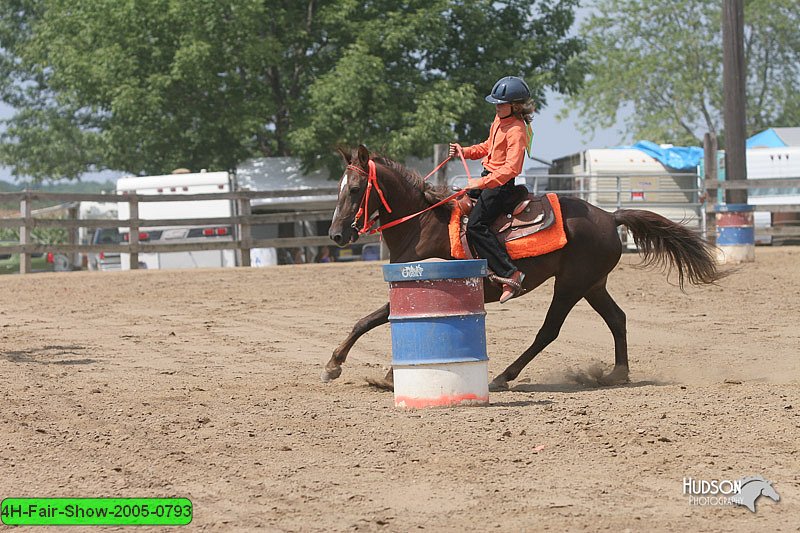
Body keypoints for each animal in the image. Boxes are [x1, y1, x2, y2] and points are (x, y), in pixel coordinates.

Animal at [322, 145, 720, 390]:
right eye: (339, 187)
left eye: (355, 189)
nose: (337, 234)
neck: (424, 224)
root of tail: (610, 216)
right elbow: (374, 321)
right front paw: (357, 368)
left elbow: (376, 320)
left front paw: (341, 366)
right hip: (593, 284)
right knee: (617, 319)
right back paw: (617, 373)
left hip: (570, 285)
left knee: (548, 332)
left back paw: (504, 376)